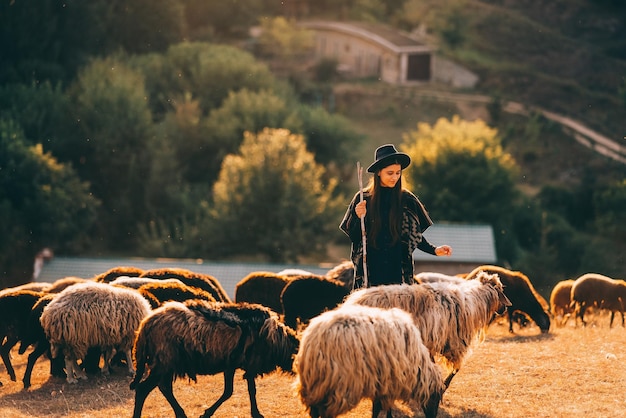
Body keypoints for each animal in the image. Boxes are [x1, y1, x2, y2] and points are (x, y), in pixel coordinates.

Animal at [130, 300, 298, 418]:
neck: (279, 341)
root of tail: (146, 324)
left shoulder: (236, 365)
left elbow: (244, 390)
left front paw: (256, 413)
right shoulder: (247, 364)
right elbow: (233, 392)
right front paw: (206, 413)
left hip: (167, 363)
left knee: (164, 388)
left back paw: (181, 414)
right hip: (163, 362)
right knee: (143, 389)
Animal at [294, 304, 444, 418]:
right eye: (435, 398)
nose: (432, 417)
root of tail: (311, 340)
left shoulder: (380, 383)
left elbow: (378, 408)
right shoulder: (390, 382)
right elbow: (381, 409)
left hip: (316, 386)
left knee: (314, 412)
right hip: (335, 386)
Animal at [344, 272, 510, 388]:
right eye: (500, 290)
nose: (506, 308)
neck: (475, 302)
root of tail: (353, 301)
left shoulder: (435, 341)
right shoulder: (454, 344)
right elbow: (455, 369)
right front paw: (443, 385)